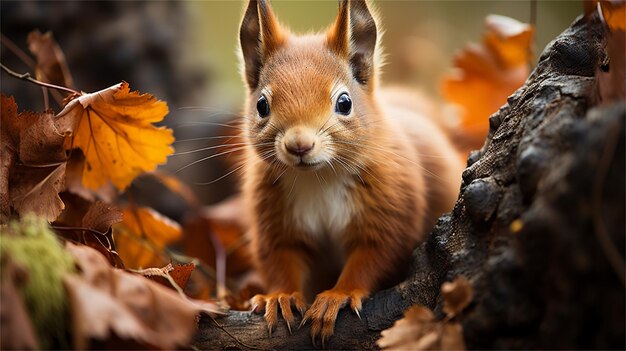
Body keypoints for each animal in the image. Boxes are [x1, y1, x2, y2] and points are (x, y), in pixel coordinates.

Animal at [236, 0, 460, 346]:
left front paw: (336, 296)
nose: (299, 145)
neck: (319, 177)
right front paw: (281, 296)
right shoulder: (273, 218)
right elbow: (280, 258)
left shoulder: (391, 207)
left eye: (344, 103)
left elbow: (374, 256)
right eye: (261, 105)